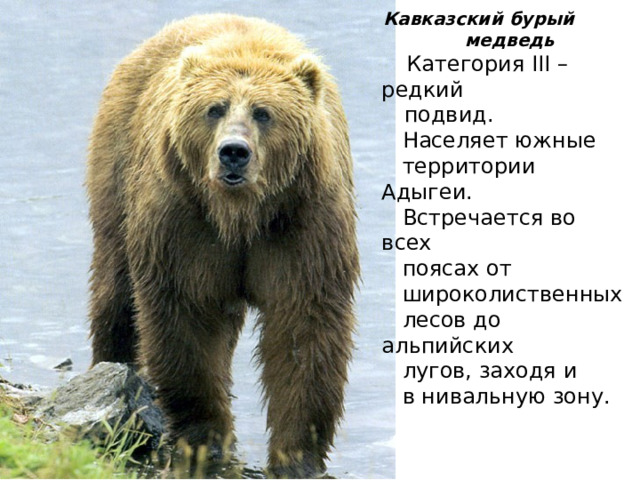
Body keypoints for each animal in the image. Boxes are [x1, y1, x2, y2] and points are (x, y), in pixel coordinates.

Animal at [86, 13, 359, 478]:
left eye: (264, 113)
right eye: (214, 108)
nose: (234, 152)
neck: (241, 215)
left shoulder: (304, 224)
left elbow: (305, 328)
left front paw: (297, 454)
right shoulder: (184, 222)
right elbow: (186, 318)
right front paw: (205, 437)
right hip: (118, 165)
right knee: (116, 287)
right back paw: (110, 366)